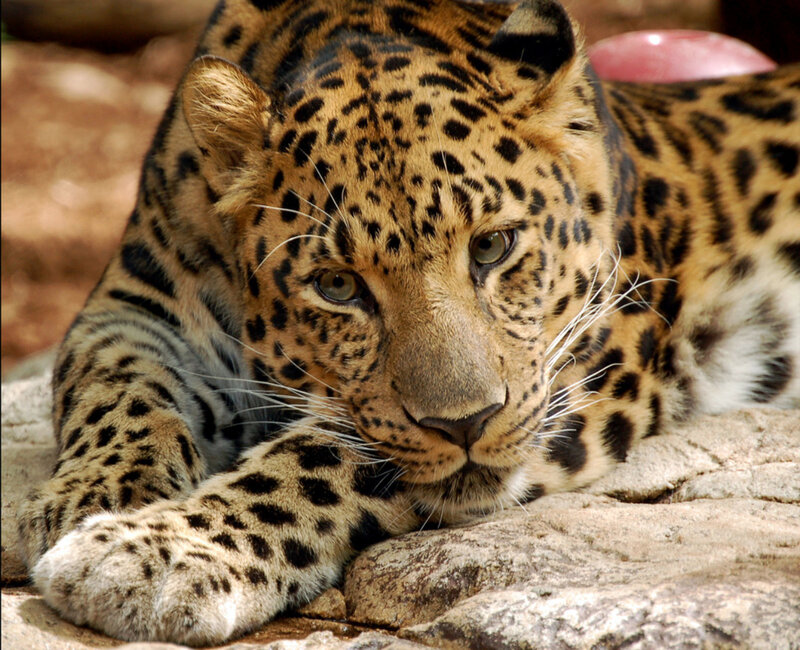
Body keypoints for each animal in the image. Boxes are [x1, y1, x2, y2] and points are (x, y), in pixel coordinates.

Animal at [16, 0, 800, 645]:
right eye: (337, 286)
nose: (467, 424)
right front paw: (92, 496)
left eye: (492, 246)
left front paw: (152, 551)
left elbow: (320, 459)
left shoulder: (587, 354)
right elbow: (114, 385)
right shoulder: (136, 303)